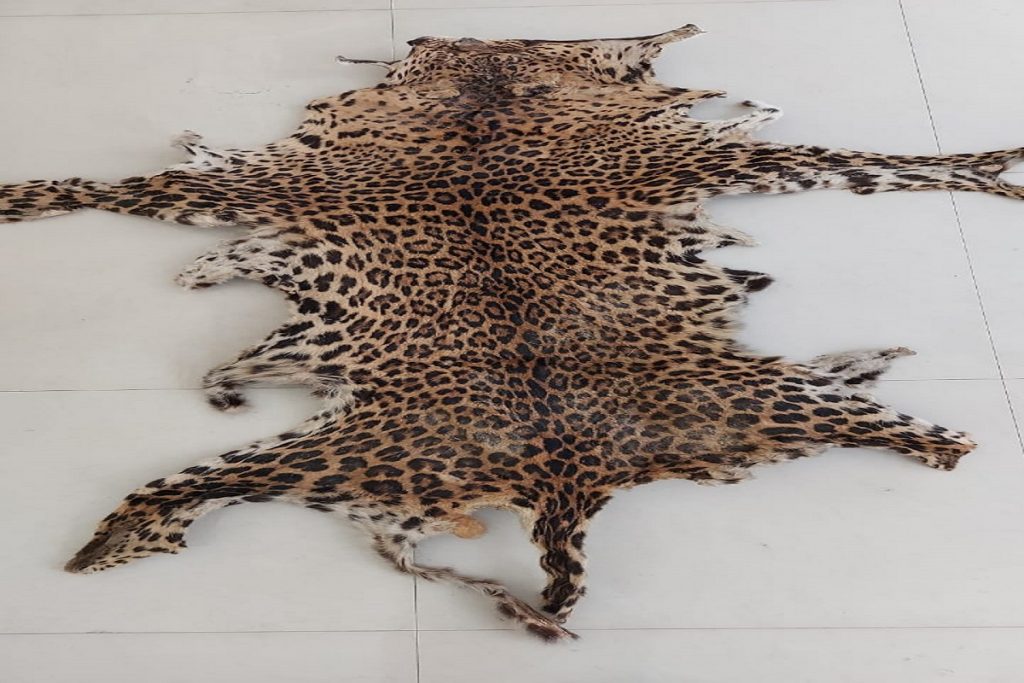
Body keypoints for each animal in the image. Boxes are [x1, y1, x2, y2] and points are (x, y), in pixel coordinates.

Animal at [2, 25, 1022, 641]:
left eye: (534, 50)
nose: (437, 37)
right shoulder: (266, 185)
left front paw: (994, 168)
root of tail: (561, 478)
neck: (480, 108)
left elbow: (876, 163)